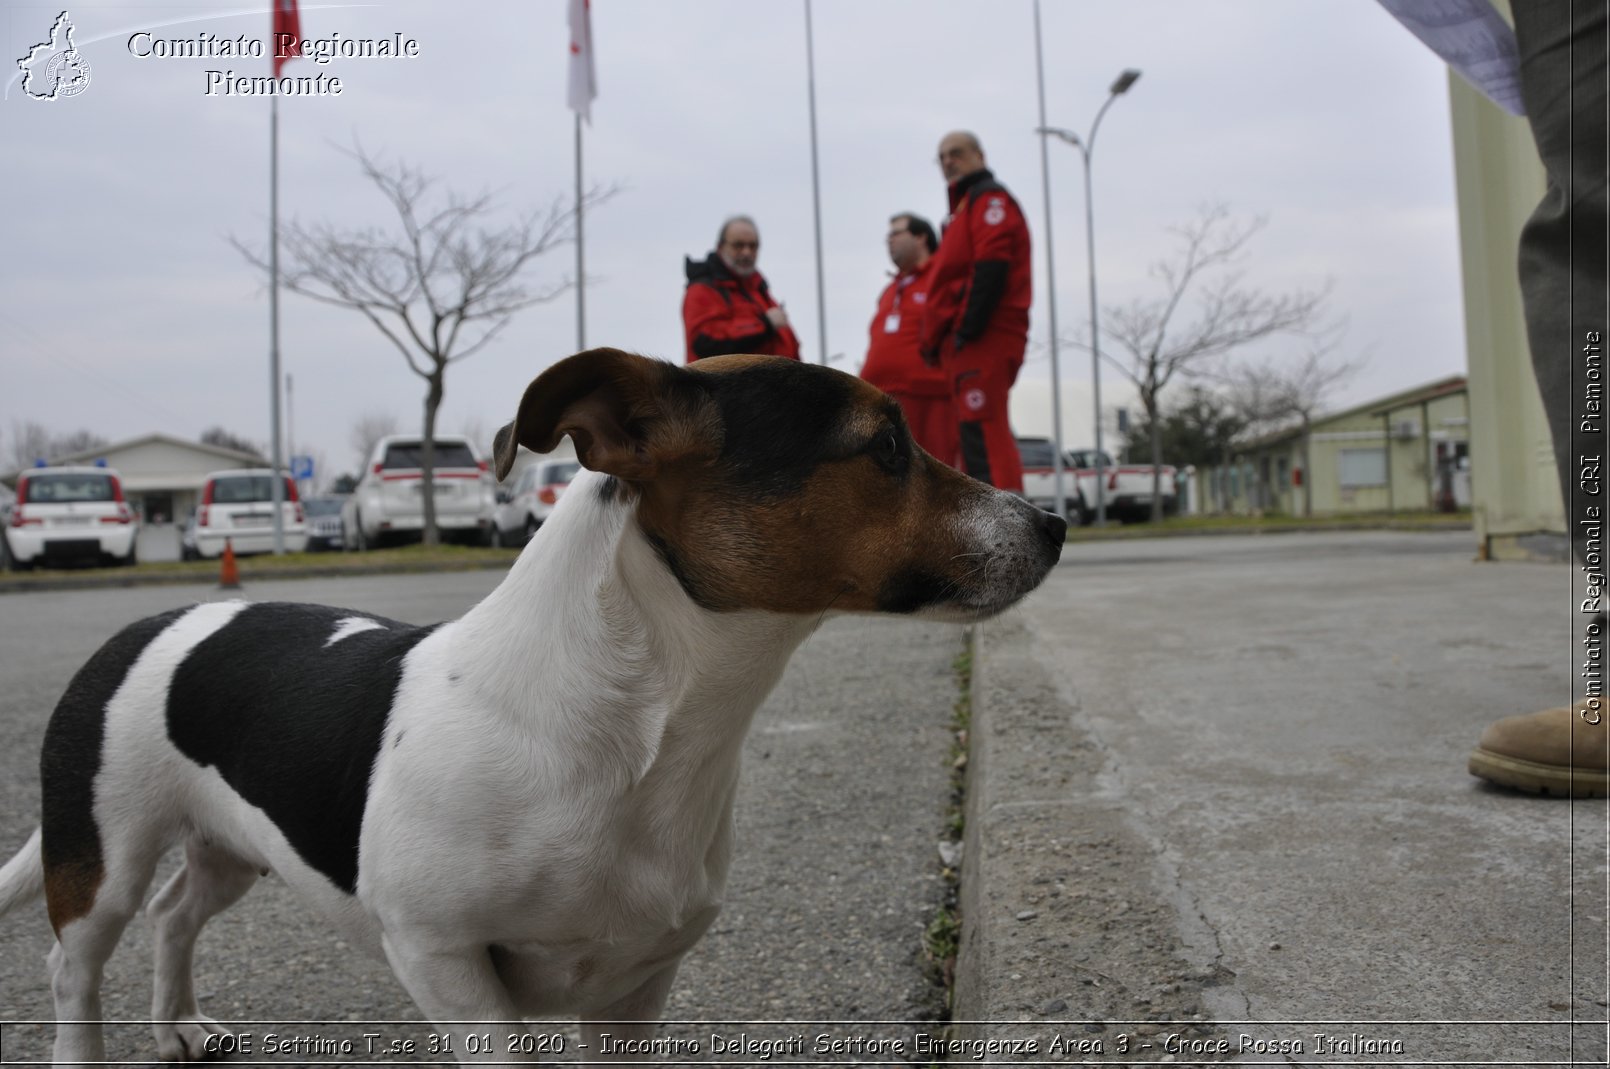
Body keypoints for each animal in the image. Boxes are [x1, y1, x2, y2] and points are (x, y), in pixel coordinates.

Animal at [0, 349, 1069, 1062]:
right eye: (885, 445)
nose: (1056, 521)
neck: (628, 730)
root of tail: (152, 621)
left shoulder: (635, 984)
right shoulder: (447, 963)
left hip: (234, 848)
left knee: (178, 913)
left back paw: (179, 1026)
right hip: (102, 859)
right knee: (75, 966)